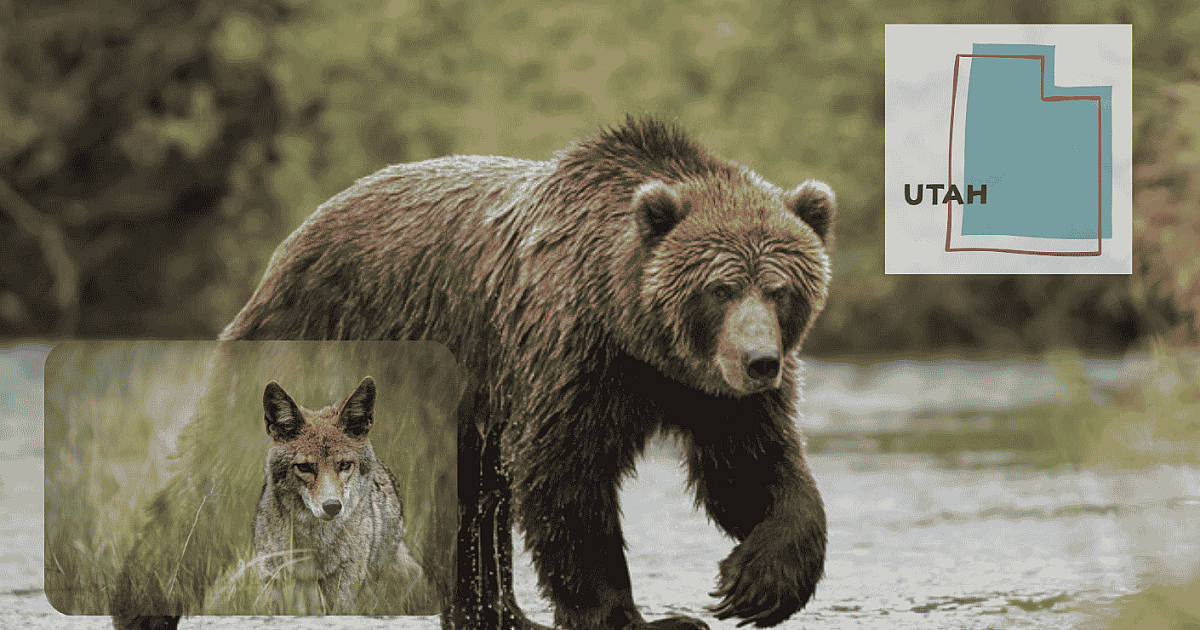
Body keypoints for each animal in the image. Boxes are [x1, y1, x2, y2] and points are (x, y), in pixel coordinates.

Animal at [213, 115, 832, 630]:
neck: (639, 337)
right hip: (337, 321)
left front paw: (759, 581)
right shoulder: (568, 356)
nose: (759, 361)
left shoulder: (708, 392)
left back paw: (501, 613)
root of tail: (292, 241)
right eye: (721, 288)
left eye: (780, 289)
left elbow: (748, 467)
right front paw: (642, 618)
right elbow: (566, 475)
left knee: (474, 500)